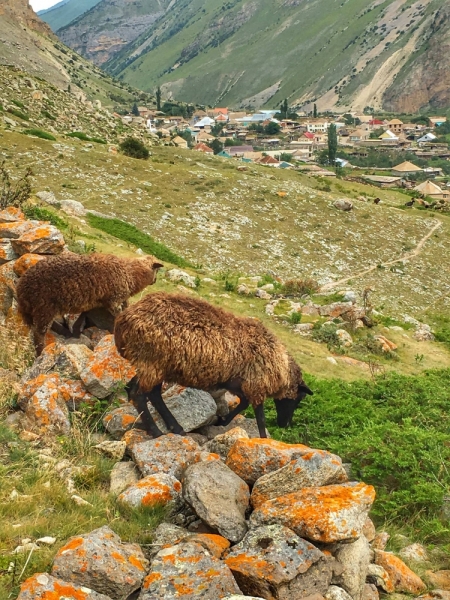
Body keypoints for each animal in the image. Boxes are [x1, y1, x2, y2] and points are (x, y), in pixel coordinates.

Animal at [16, 251, 163, 354]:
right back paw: (41, 351)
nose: (155, 281)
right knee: (39, 334)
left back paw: (65, 332)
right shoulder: (114, 300)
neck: (130, 274)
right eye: (156, 270)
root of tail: (22, 288)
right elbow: (119, 315)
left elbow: (83, 316)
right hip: (45, 307)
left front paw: (76, 330)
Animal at [116, 292, 312, 438]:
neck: (282, 368)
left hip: (155, 365)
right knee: (140, 395)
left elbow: (243, 404)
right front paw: (263, 440)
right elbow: (260, 418)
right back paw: (157, 431)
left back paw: (175, 428)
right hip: (153, 362)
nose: (284, 424)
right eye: (299, 398)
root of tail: (124, 321)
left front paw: (222, 421)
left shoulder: (238, 384)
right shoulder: (255, 385)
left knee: (145, 392)